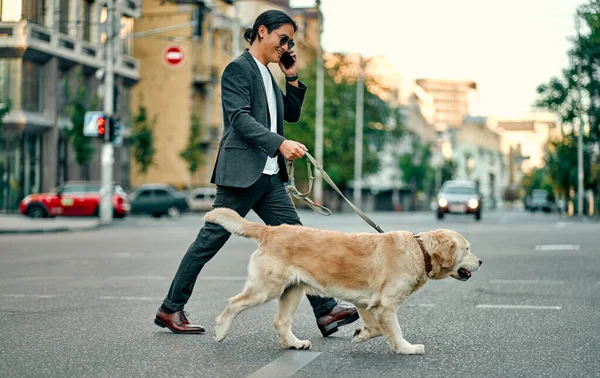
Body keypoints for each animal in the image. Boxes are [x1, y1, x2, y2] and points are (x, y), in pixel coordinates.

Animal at [206, 207, 482, 354]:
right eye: (467, 249)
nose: (480, 262)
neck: (419, 250)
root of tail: (271, 230)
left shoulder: (366, 302)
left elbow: (376, 328)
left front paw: (360, 334)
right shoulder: (387, 304)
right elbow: (393, 330)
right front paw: (406, 348)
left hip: (292, 291)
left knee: (281, 322)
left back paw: (294, 343)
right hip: (266, 288)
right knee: (234, 303)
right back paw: (220, 331)